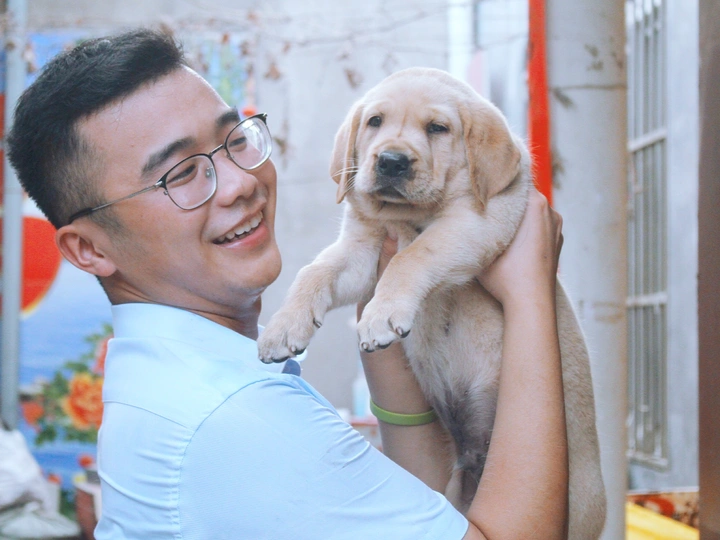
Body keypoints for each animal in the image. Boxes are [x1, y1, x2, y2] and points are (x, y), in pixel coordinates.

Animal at [258, 67, 606, 539]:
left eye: (437, 128)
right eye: (375, 122)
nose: (391, 161)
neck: (406, 217)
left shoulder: (477, 223)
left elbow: (413, 255)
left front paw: (381, 316)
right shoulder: (361, 251)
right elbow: (314, 271)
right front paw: (283, 326)